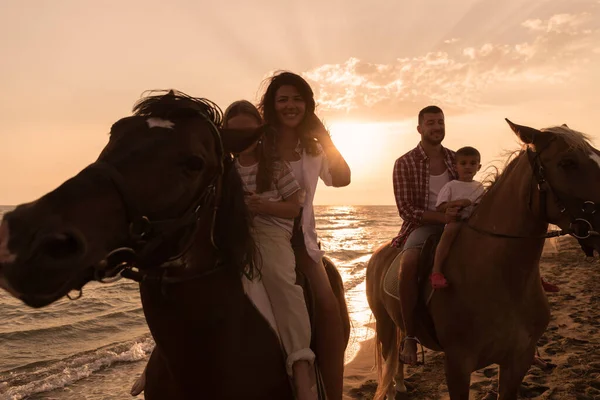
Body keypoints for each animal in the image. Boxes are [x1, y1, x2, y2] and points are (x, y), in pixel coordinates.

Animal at [368, 120, 600, 398]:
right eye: (567, 162)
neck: (502, 280)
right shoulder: (458, 366)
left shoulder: (518, 361)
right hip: (384, 323)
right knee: (390, 356)